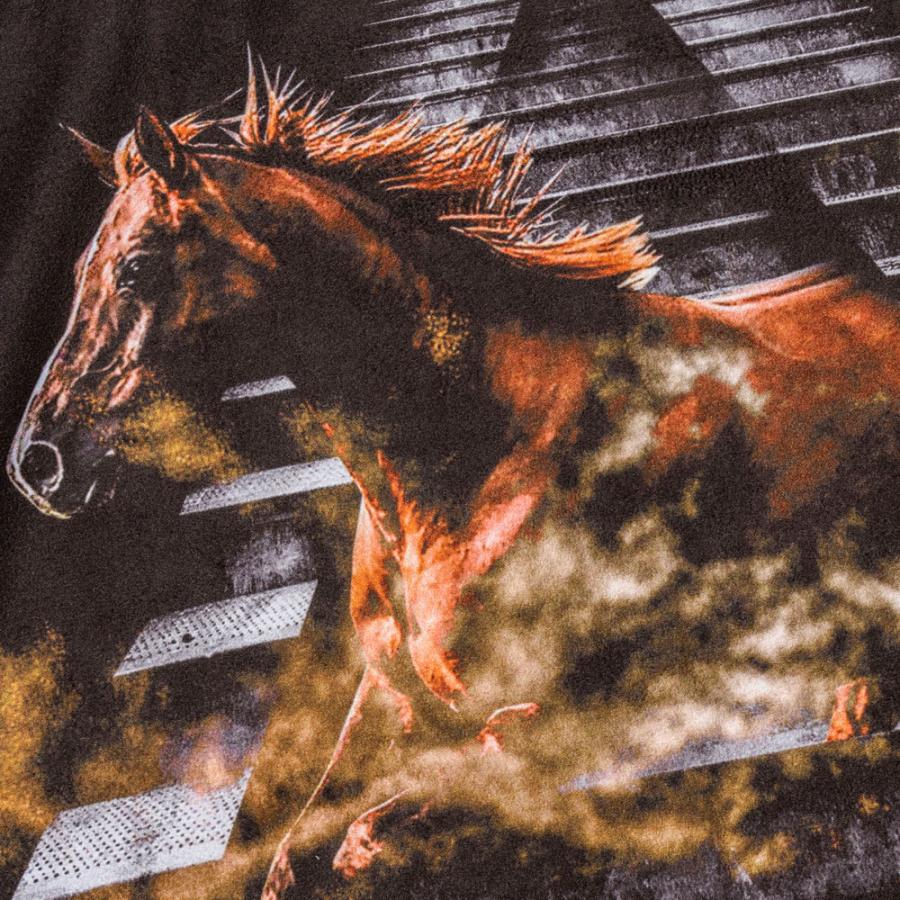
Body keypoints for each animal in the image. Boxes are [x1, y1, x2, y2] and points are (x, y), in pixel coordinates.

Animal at [7, 65, 900, 891]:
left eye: (134, 266)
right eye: (82, 268)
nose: (38, 461)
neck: (469, 449)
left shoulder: (556, 716)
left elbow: (377, 830)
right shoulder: (386, 700)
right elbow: (292, 855)